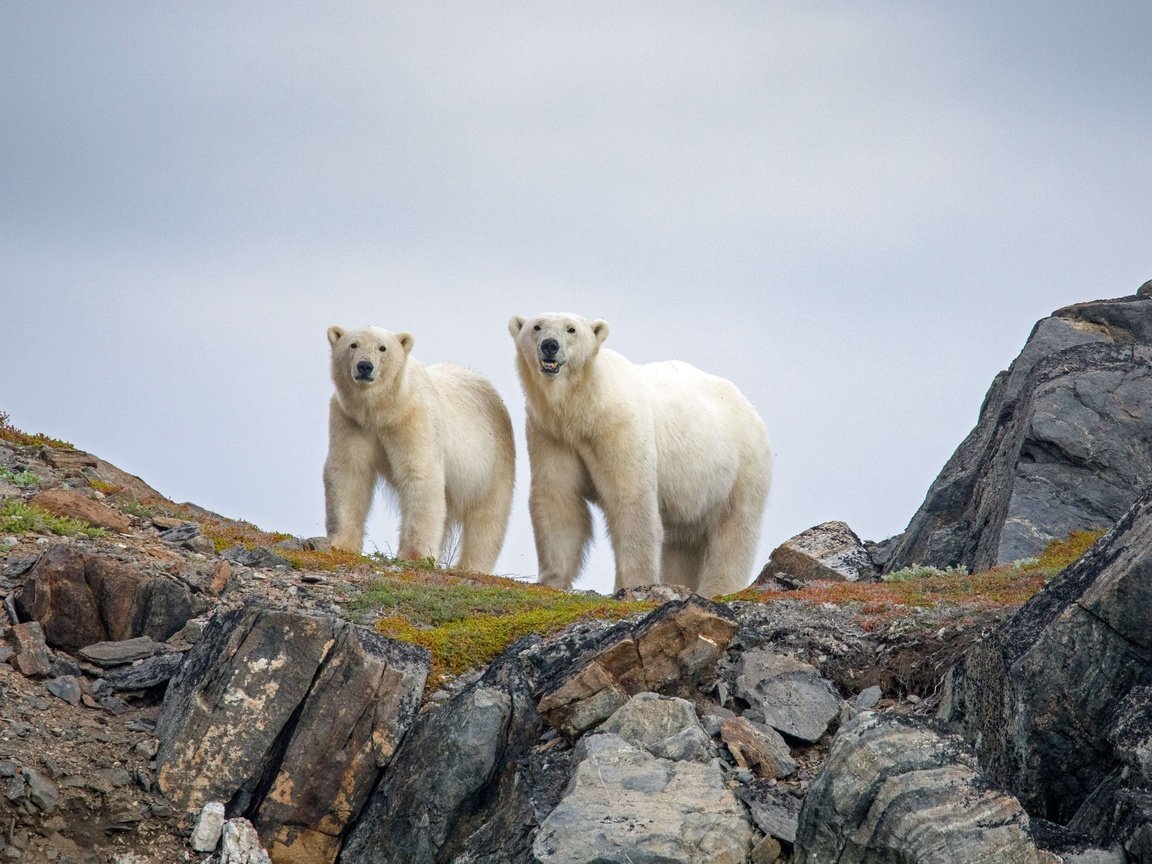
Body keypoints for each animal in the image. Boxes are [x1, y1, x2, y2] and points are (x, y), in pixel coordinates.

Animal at [322, 327, 516, 576]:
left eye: (383, 348)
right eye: (353, 344)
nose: (365, 366)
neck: (382, 411)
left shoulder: (414, 419)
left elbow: (420, 475)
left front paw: (413, 556)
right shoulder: (351, 420)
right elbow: (349, 473)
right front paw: (341, 543)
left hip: (492, 462)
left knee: (487, 518)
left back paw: (472, 567)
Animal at [511, 315, 774, 599]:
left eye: (571, 329)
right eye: (536, 326)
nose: (549, 345)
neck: (586, 407)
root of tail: (749, 408)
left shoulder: (620, 428)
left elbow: (631, 502)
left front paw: (633, 584)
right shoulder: (552, 434)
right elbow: (559, 499)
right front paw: (551, 580)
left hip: (742, 468)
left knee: (734, 531)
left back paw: (717, 589)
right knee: (682, 544)